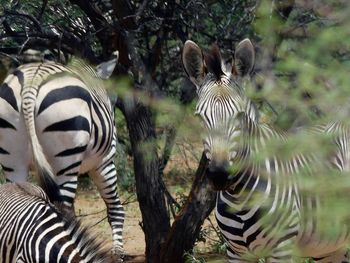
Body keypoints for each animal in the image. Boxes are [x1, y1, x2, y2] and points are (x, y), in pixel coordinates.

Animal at [0, 55, 125, 256]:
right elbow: (115, 209)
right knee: (65, 210)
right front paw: (118, 252)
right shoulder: (105, 161)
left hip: (12, 159)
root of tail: (31, 81)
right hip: (66, 159)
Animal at [183, 39, 350, 263]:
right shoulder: (235, 253)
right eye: (200, 117)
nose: (219, 175)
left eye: (240, 116)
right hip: (331, 245)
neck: (239, 197)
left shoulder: (281, 249)